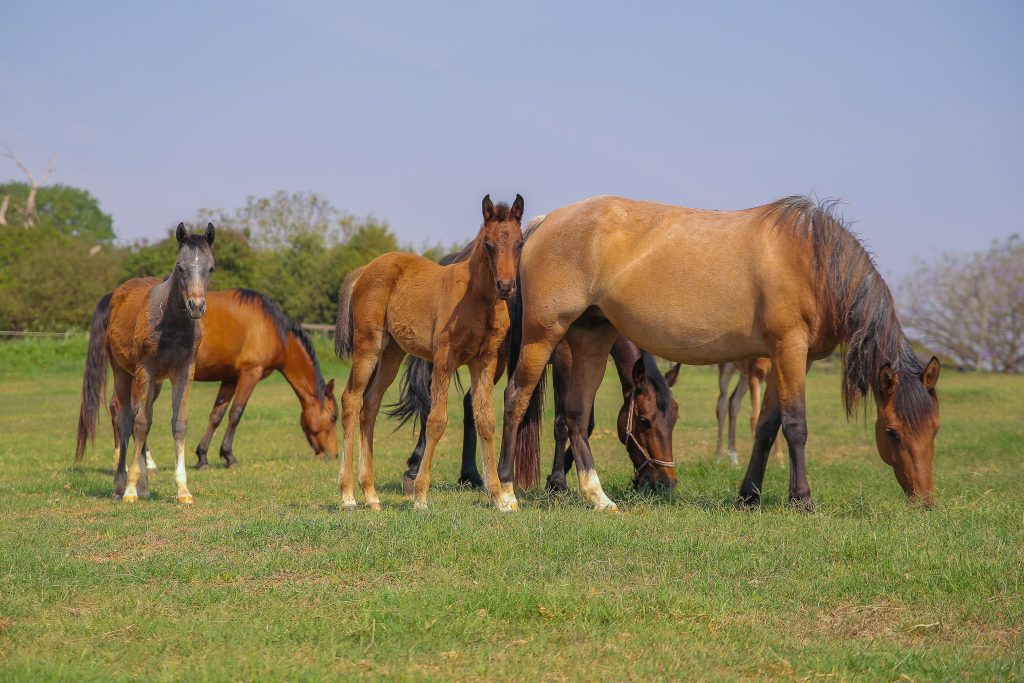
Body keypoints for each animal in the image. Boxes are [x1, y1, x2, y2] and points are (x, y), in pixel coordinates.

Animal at [75, 223, 216, 501]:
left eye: (211, 268)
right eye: (180, 267)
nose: (196, 306)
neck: (171, 324)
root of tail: (115, 294)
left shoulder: (184, 372)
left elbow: (178, 423)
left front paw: (183, 490)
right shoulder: (144, 371)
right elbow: (139, 423)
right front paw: (130, 489)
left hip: (156, 384)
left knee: (143, 416)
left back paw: (144, 486)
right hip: (123, 372)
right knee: (126, 417)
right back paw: (121, 484)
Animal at [103, 286, 337, 471]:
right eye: (334, 417)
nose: (333, 454)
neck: (272, 329)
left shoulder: (230, 379)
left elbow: (217, 414)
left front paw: (203, 457)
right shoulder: (250, 374)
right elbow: (236, 413)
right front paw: (229, 456)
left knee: (118, 407)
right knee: (130, 410)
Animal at [335, 194, 524, 509]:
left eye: (520, 243)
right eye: (488, 244)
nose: (506, 286)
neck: (477, 300)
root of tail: (364, 271)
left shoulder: (484, 361)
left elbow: (485, 420)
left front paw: (500, 498)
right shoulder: (444, 360)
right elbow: (436, 421)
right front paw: (421, 496)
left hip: (392, 353)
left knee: (370, 404)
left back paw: (371, 495)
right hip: (368, 345)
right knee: (351, 399)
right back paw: (348, 495)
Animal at [499, 194, 937, 509]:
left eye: (934, 429)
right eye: (892, 431)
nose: (925, 499)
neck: (812, 262)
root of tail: (544, 222)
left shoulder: (784, 357)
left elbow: (766, 425)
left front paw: (749, 495)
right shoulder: (791, 350)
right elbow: (795, 425)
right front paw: (802, 499)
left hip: (592, 337)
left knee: (575, 414)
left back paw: (599, 498)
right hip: (544, 337)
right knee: (516, 399)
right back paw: (504, 493)